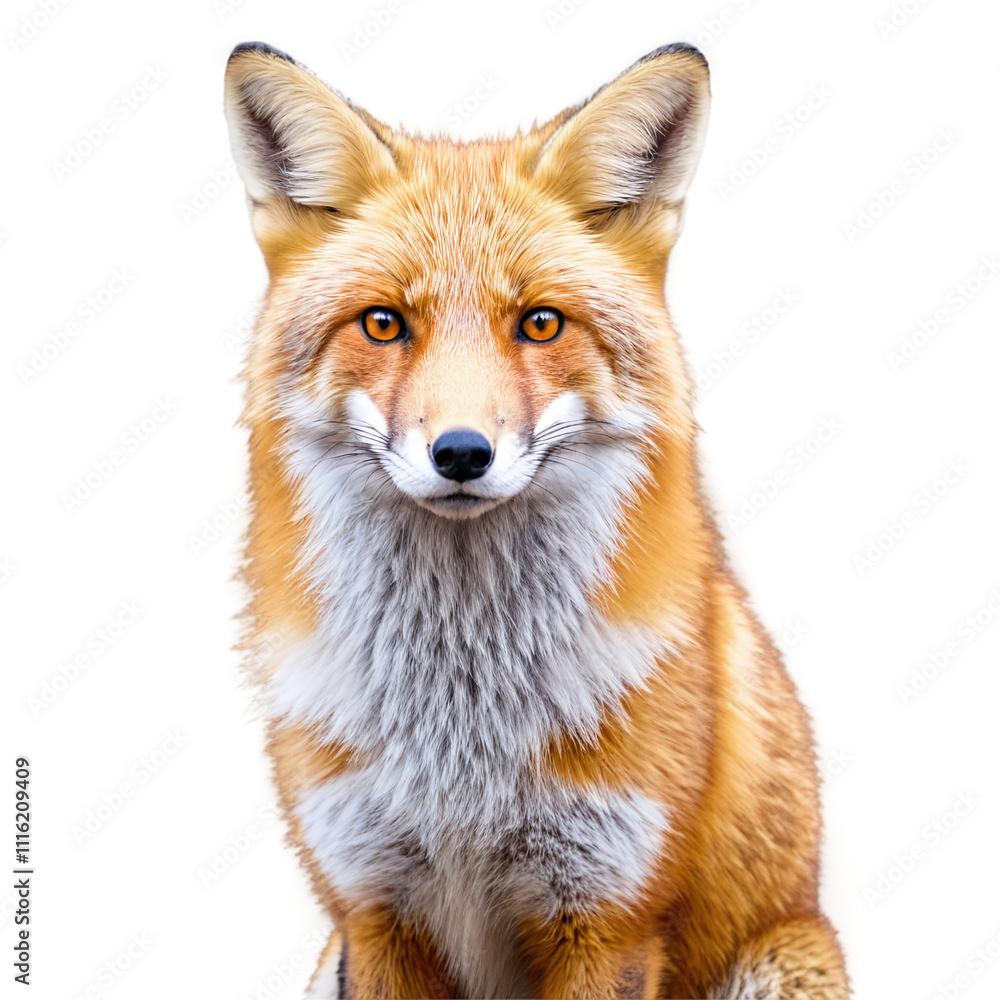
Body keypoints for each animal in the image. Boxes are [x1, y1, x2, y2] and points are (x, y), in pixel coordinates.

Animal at [223, 40, 850, 1000]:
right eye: (383, 324)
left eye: (540, 323)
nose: (461, 453)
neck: (460, 737)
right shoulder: (373, 909)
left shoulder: (608, 912)